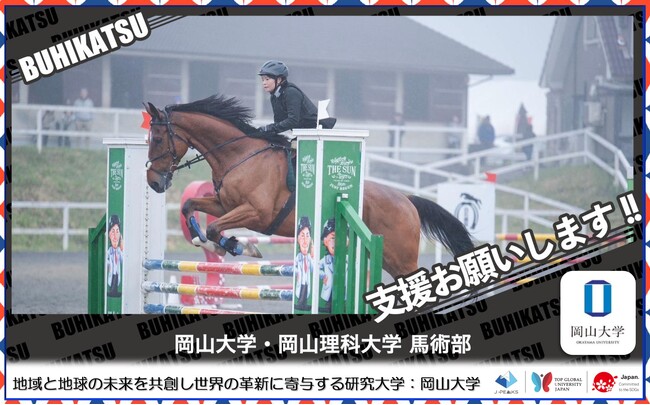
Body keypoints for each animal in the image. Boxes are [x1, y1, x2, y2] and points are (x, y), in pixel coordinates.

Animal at [144, 94, 474, 280]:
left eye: (157, 139)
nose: (154, 182)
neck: (239, 156)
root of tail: (406, 200)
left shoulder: (256, 213)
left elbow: (215, 227)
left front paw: (240, 246)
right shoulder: (224, 204)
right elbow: (191, 208)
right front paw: (208, 242)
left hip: (401, 257)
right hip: (386, 258)